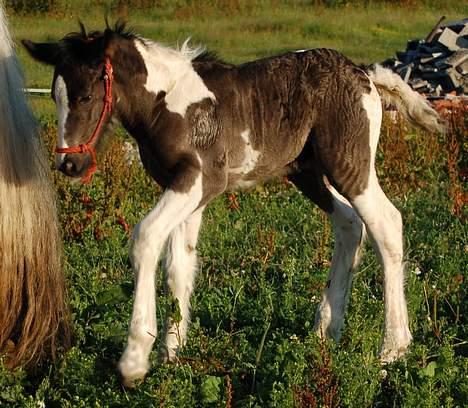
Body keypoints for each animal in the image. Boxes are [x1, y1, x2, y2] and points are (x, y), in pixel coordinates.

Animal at [23, 23, 444, 388]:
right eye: (55, 95)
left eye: (86, 96)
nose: (69, 165)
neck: (165, 103)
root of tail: (365, 74)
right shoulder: (186, 191)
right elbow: (179, 265)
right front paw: (171, 354)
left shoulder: (201, 180)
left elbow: (145, 239)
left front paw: (135, 359)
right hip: (307, 173)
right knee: (350, 223)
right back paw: (326, 329)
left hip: (349, 164)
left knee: (387, 224)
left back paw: (393, 348)